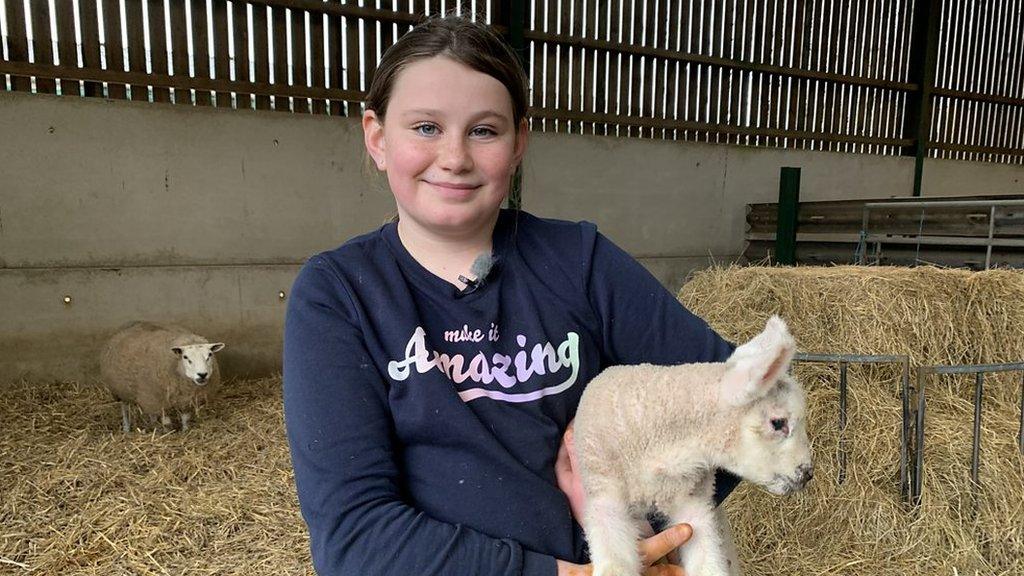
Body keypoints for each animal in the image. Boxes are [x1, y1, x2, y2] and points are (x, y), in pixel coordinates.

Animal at [577, 313, 815, 573]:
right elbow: (615, 565)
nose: (807, 473)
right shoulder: (603, 498)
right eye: (778, 423)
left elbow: (708, 565)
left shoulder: (694, 503)